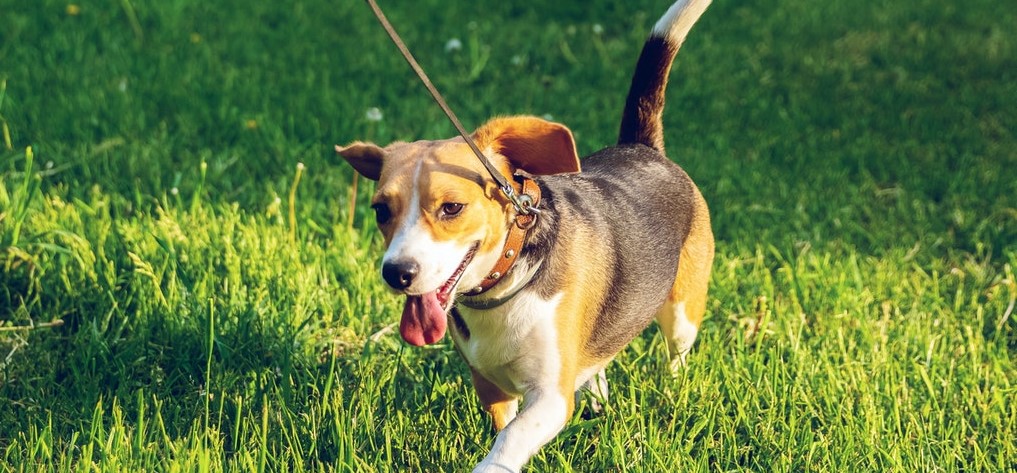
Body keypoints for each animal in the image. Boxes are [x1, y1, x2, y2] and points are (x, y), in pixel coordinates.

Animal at [337, 0, 711, 467]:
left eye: (452, 207)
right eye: (380, 211)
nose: (397, 273)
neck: (505, 282)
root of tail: (641, 147)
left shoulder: (550, 397)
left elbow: (510, 440)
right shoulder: (490, 386)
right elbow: (505, 427)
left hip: (683, 312)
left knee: (676, 353)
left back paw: (672, 391)